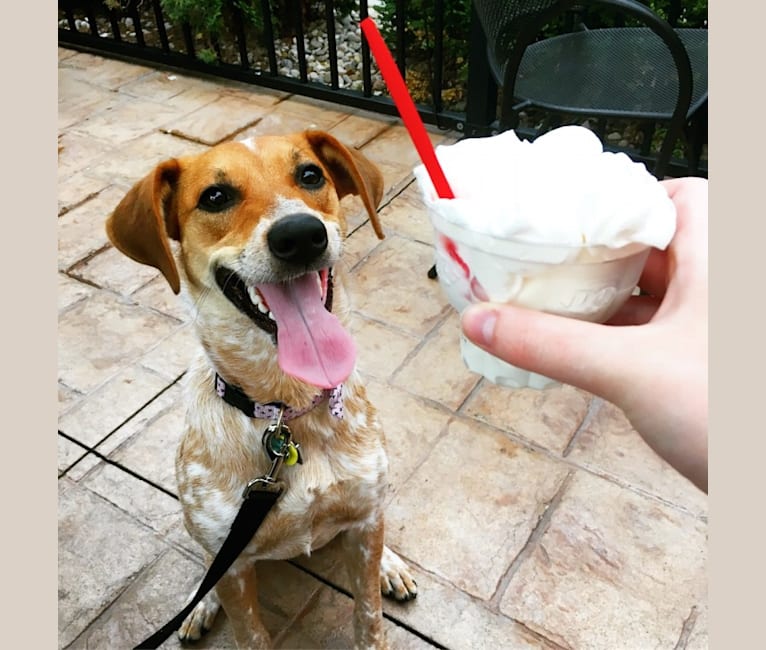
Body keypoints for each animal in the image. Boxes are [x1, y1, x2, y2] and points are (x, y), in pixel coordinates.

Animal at [105, 129, 416, 644]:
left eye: (310, 174)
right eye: (215, 197)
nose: (300, 235)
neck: (287, 411)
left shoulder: (364, 521)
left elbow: (368, 616)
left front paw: (381, 583)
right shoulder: (232, 566)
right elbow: (249, 631)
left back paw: (392, 565)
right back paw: (200, 603)